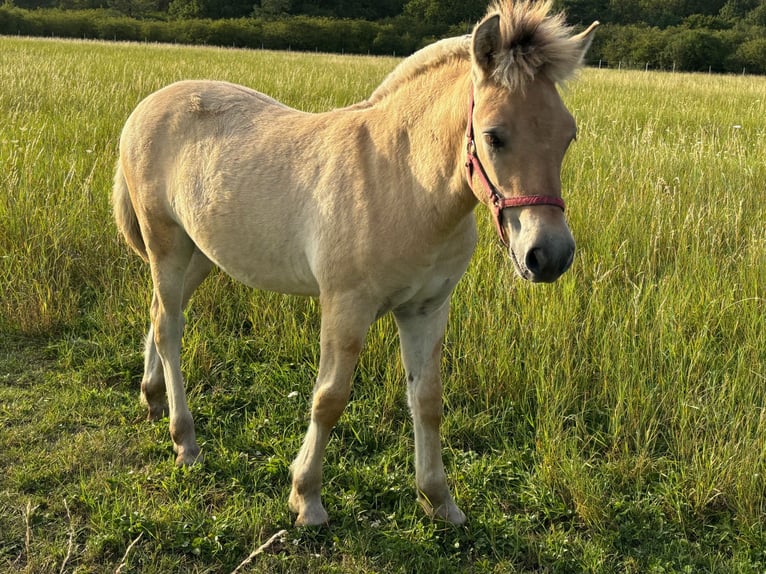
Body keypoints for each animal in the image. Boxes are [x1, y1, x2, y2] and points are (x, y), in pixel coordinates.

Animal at [114, 0, 600, 528]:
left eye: (569, 135)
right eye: (494, 136)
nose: (549, 255)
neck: (403, 182)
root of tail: (146, 106)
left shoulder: (427, 309)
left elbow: (427, 400)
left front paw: (439, 499)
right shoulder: (346, 306)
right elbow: (329, 398)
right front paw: (306, 498)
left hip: (200, 252)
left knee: (160, 313)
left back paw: (152, 397)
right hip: (167, 245)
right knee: (169, 327)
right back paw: (185, 441)